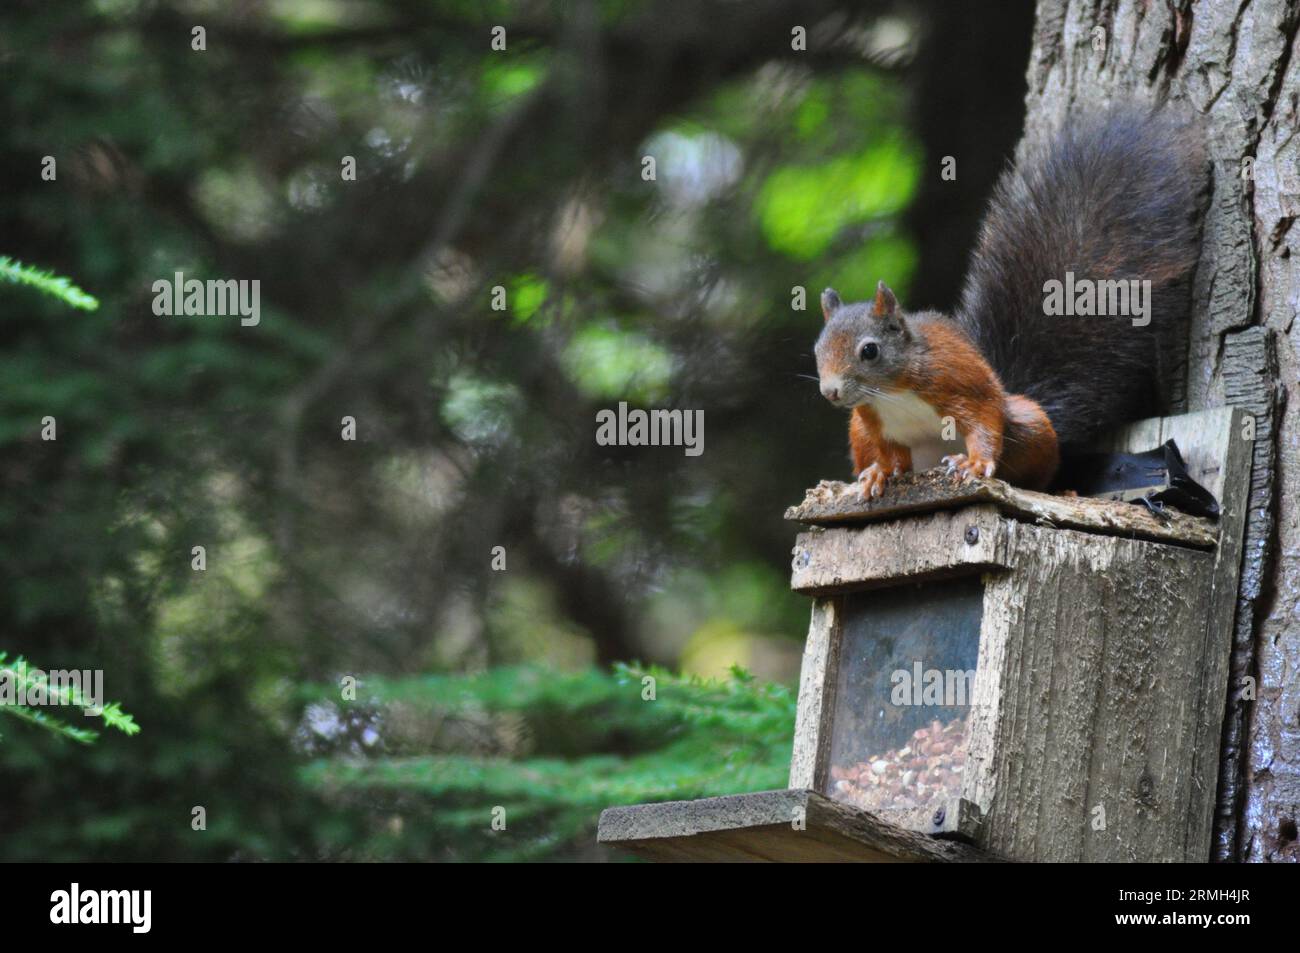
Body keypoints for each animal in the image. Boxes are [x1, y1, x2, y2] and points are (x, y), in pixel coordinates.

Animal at [816, 108, 1201, 499]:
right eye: (818, 350)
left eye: (870, 351)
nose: (830, 392)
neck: (891, 392)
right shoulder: (873, 421)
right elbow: (890, 454)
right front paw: (880, 474)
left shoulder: (956, 380)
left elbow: (983, 419)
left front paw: (974, 464)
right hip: (858, 430)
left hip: (1031, 423)